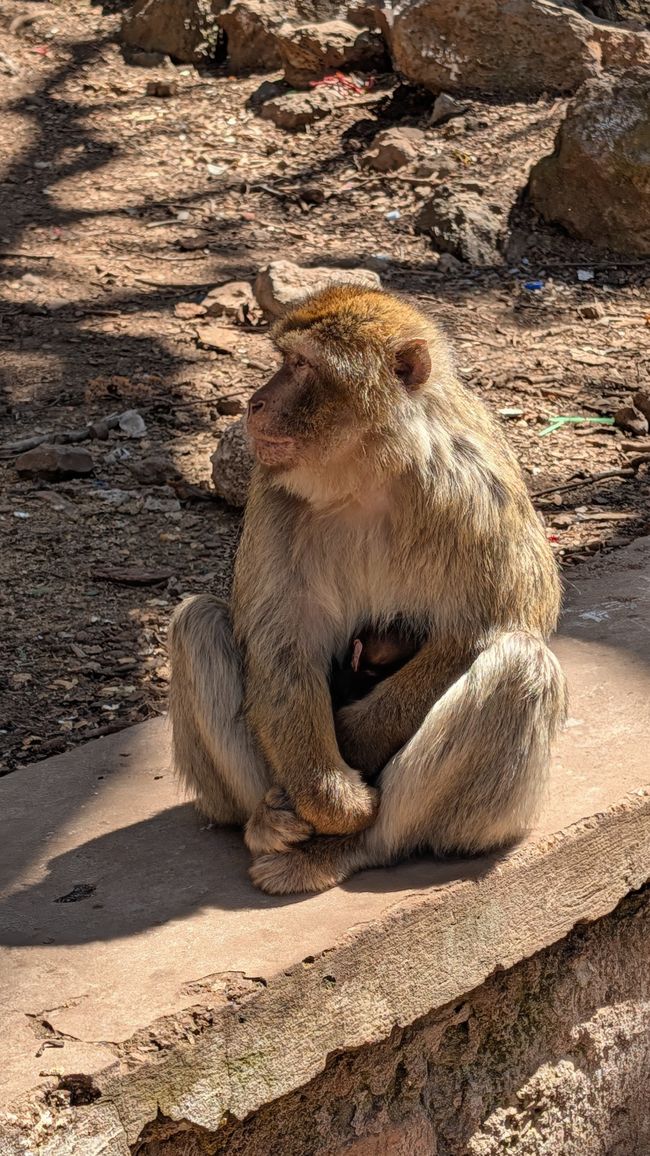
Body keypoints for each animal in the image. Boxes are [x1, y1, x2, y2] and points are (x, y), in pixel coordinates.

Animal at [168, 286, 566, 894]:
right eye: (284, 358)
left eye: (301, 365)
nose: (254, 403)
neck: (365, 474)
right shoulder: (272, 491)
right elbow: (282, 645)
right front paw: (332, 798)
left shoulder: (474, 489)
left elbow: (491, 624)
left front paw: (352, 742)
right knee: (197, 623)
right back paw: (266, 821)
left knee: (522, 665)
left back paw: (351, 847)